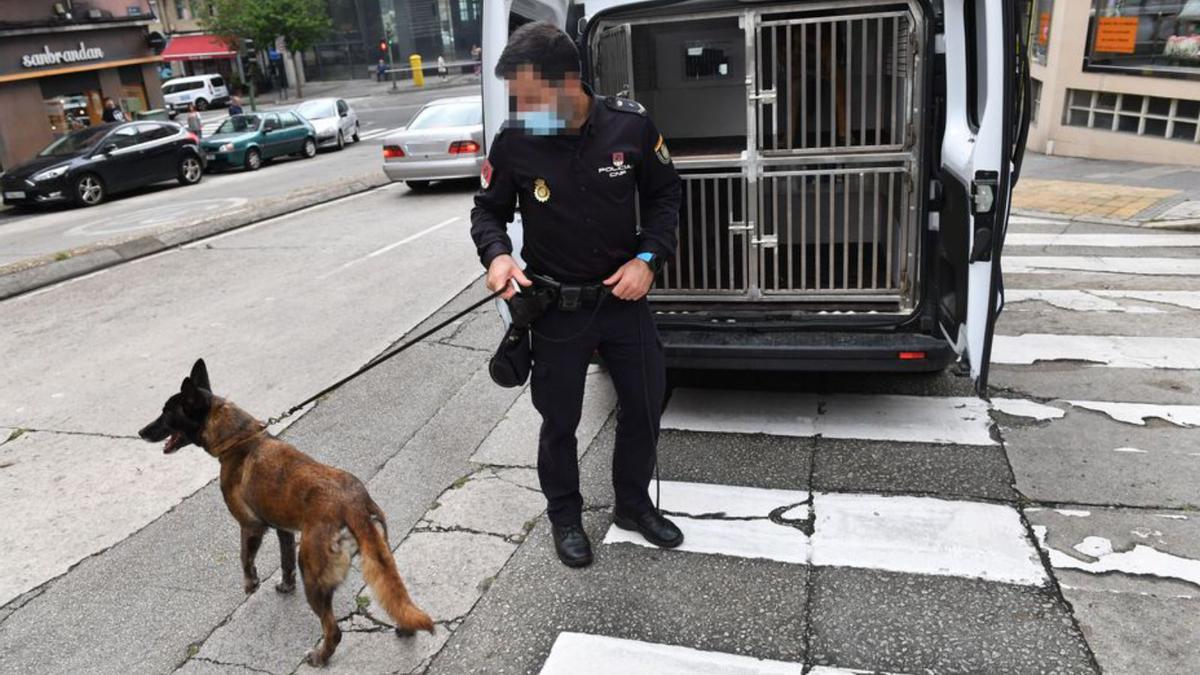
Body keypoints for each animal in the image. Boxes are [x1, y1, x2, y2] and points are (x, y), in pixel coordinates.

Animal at [139, 357, 436, 662]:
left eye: (166, 413)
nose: (140, 432)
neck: (240, 439)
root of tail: (354, 504)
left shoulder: (250, 526)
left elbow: (245, 557)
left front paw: (251, 583)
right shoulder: (283, 530)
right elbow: (285, 561)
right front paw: (285, 585)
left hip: (313, 571)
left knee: (333, 629)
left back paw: (320, 657)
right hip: (379, 556)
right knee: (394, 597)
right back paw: (405, 627)